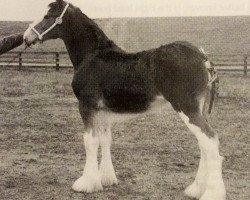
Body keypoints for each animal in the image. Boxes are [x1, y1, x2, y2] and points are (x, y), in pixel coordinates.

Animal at [23, 0, 227, 199]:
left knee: (210, 141)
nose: (26, 37)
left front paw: (86, 183)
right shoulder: (102, 112)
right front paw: (106, 179)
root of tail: (203, 58)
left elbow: (90, 142)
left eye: (47, 16)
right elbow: (105, 140)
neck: (92, 56)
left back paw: (212, 193)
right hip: (198, 110)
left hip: (187, 108)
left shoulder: (87, 107)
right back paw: (196, 189)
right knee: (204, 144)